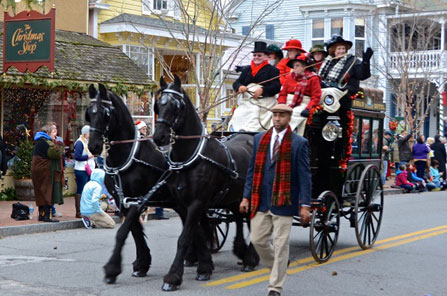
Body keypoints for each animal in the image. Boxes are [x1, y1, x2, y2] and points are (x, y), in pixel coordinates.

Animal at [153, 76, 260, 292]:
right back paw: (241, 250)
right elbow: (197, 234)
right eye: (158, 105)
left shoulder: (197, 202)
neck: (190, 157)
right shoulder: (185, 204)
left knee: (252, 221)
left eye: (177, 106)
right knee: (239, 218)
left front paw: (172, 278)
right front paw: (204, 267)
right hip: (234, 196)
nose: (158, 136)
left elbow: (185, 238)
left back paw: (250, 259)